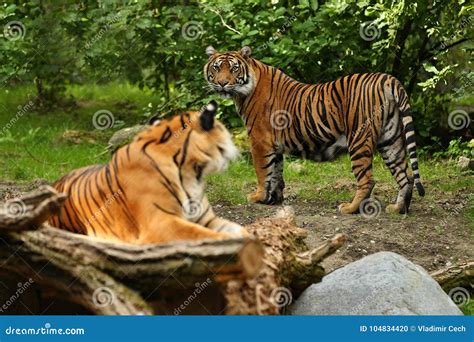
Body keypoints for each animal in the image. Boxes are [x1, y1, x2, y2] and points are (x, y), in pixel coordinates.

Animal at [204, 45, 426, 214]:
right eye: (216, 68)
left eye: (234, 69)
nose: (222, 83)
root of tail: (387, 79)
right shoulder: (274, 144)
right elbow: (276, 172)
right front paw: (274, 198)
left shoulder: (260, 140)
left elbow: (262, 171)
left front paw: (258, 196)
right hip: (391, 139)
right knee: (405, 175)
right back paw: (398, 209)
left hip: (359, 138)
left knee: (368, 180)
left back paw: (350, 208)